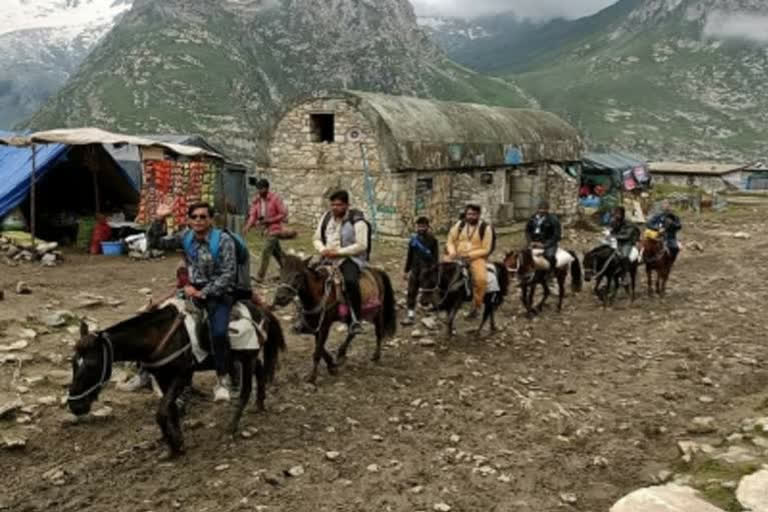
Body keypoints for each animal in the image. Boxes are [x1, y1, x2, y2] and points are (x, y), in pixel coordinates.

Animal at [67, 300, 284, 456]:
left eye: (91, 365)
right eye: (73, 363)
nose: (75, 405)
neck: (157, 337)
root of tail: (260, 310)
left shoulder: (182, 376)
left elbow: (161, 412)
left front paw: (175, 443)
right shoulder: (163, 377)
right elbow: (170, 410)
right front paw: (175, 444)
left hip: (247, 356)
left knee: (246, 389)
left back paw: (231, 427)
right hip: (244, 356)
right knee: (260, 370)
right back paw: (259, 405)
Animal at [272, 256, 396, 384]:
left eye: (298, 275)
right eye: (280, 273)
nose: (280, 298)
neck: (319, 292)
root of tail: (377, 272)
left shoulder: (325, 325)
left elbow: (318, 351)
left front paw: (312, 377)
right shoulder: (315, 325)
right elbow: (320, 348)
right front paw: (332, 366)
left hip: (378, 312)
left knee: (378, 332)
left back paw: (376, 356)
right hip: (354, 315)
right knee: (352, 332)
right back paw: (341, 354)